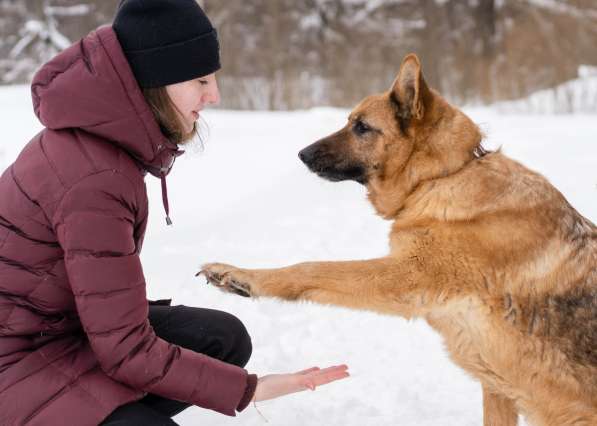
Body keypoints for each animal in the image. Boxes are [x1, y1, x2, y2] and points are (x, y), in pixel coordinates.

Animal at [200, 54, 596, 426]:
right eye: (349, 121)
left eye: (362, 127)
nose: (302, 154)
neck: (444, 175)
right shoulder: (496, 388)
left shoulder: (404, 278)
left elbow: (311, 268)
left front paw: (239, 275)